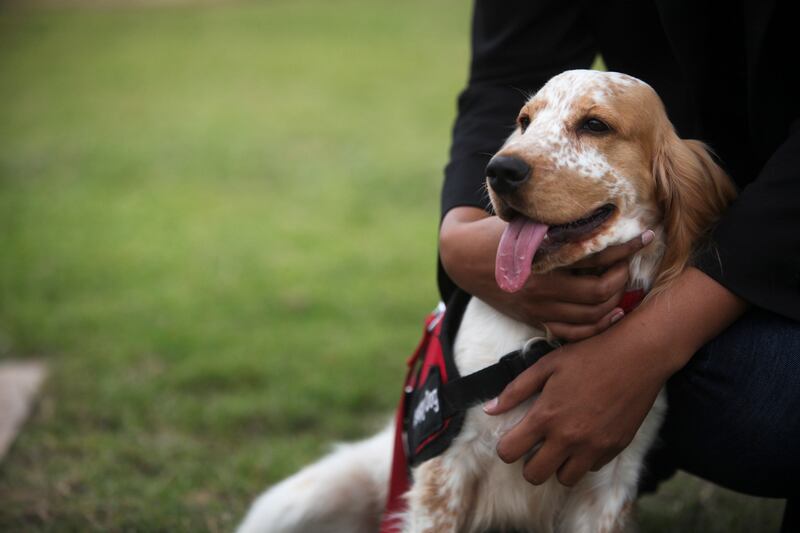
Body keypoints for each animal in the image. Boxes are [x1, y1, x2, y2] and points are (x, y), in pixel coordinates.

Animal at [239, 70, 736, 532]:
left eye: (596, 124)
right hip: (297, 501)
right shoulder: (447, 467)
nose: (501, 170)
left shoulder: (609, 483)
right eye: (525, 122)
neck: (544, 340)